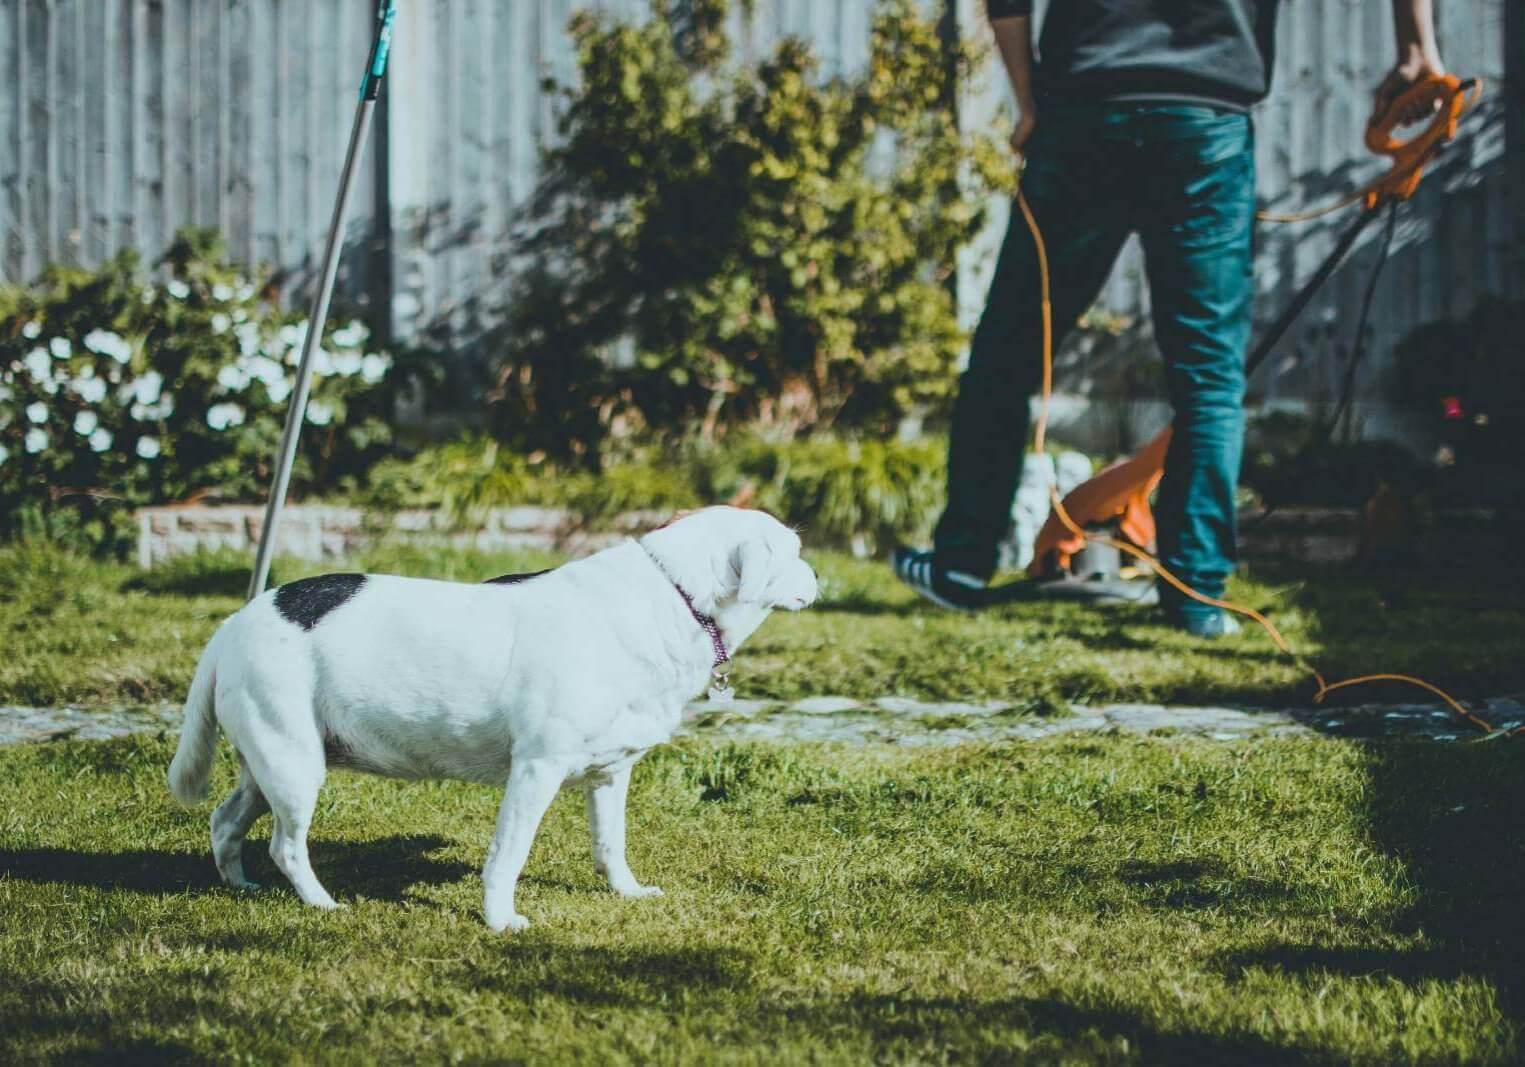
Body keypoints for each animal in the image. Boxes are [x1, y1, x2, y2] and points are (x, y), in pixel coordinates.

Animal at [168, 503, 817, 926]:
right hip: (295, 765)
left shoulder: (612, 774)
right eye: (794, 551)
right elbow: (509, 854)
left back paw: (241, 886)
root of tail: (232, 623)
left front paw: (626, 892)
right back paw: (321, 903)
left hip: (272, 762)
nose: (818, 577)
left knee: (225, 821)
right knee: (286, 845)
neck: (675, 595)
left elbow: (611, 844)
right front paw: (501, 920)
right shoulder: (536, 768)